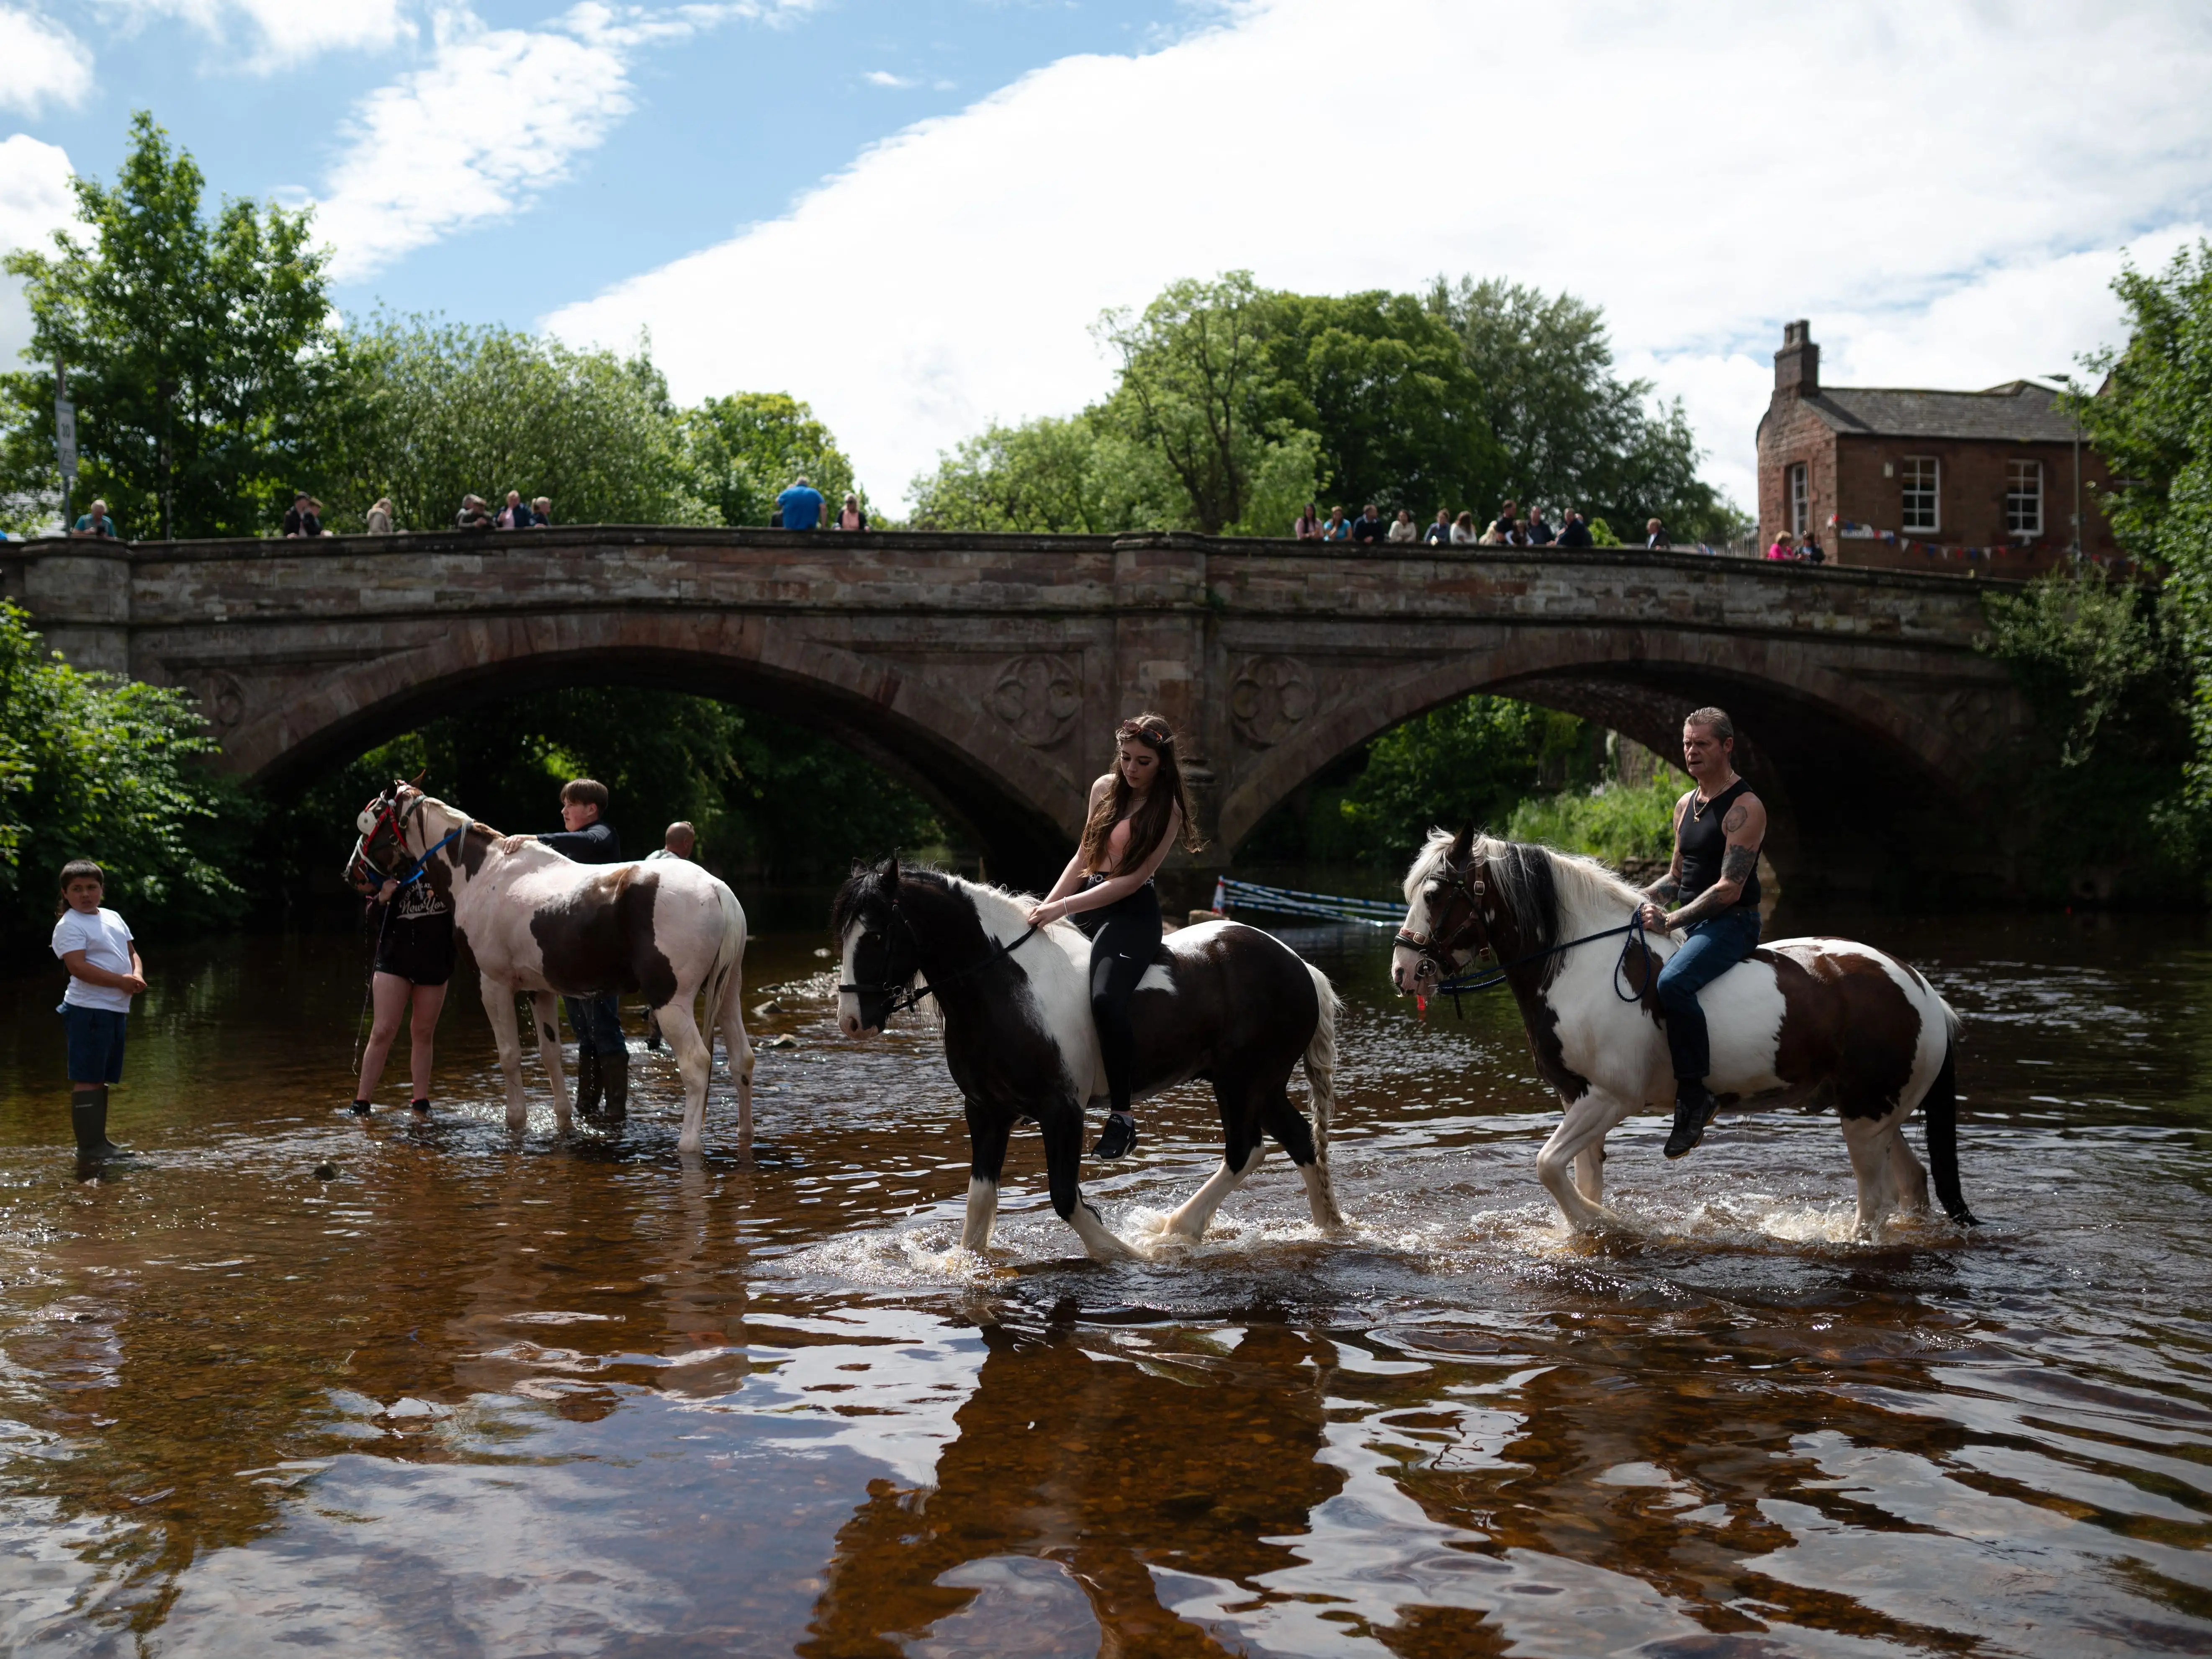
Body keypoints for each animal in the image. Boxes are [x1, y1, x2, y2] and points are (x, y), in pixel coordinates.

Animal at [349, 782, 754, 1153]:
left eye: (369, 822)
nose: (353, 873)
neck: (482, 875)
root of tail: (717, 889)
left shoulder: (493, 986)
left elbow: (510, 1056)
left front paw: (516, 1121)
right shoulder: (538, 989)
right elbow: (551, 1055)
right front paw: (564, 1123)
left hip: (671, 1001)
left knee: (697, 1064)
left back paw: (689, 1144)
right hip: (728, 993)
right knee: (742, 1061)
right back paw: (745, 1134)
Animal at [832, 856, 1344, 1261]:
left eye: (876, 934)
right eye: (844, 933)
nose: (852, 1021)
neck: (1005, 986)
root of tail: (1298, 963)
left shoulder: (1061, 1110)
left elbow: (1064, 1197)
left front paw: (1123, 1253)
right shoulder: (986, 1111)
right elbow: (979, 1204)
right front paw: (965, 1264)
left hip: (1243, 1080)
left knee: (1245, 1149)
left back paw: (1174, 1231)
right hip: (1259, 1082)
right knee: (1298, 1141)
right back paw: (1328, 1229)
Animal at [1390, 825, 1976, 1237]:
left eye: (1436, 894)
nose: (1403, 970)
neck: (1579, 964)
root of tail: (1924, 994)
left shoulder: (1609, 1098)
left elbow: (1547, 1167)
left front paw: (1604, 1222)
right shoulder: (1574, 1097)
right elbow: (1578, 1175)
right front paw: (1586, 1232)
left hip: (1863, 1120)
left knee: (1874, 1204)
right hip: (1877, 1114)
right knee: (1913, 1183)